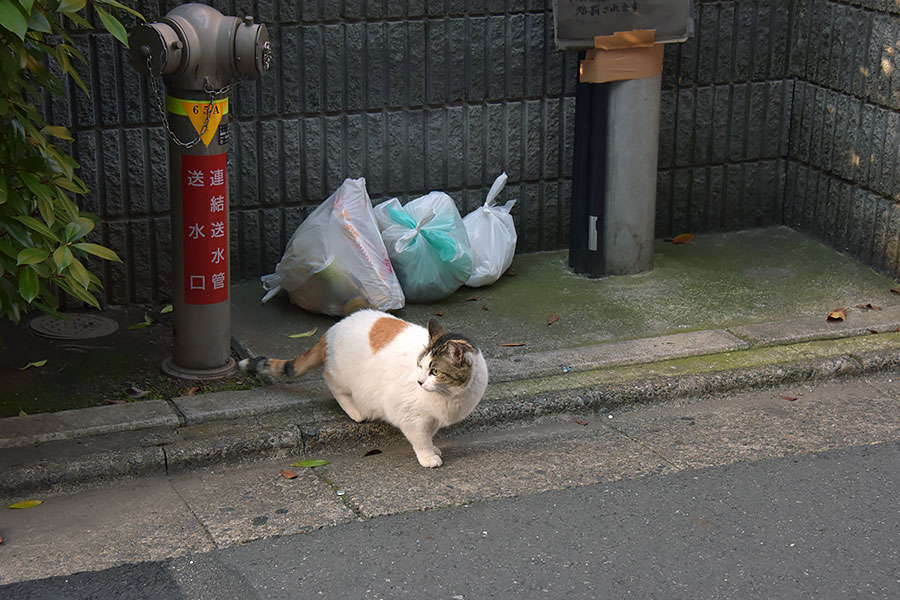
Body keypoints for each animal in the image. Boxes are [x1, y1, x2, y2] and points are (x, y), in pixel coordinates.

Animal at [237, 310, 486, 468]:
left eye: (434, 371)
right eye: (420, 365)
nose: (419, 381)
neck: (451, 396)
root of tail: (331, 330)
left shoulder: (432, 418)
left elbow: (429, 435)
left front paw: (434, 449)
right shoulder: (411, 416)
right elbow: (420, 439)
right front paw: (428, 456)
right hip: (342, 376)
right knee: (331, 383)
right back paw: (355, 411)